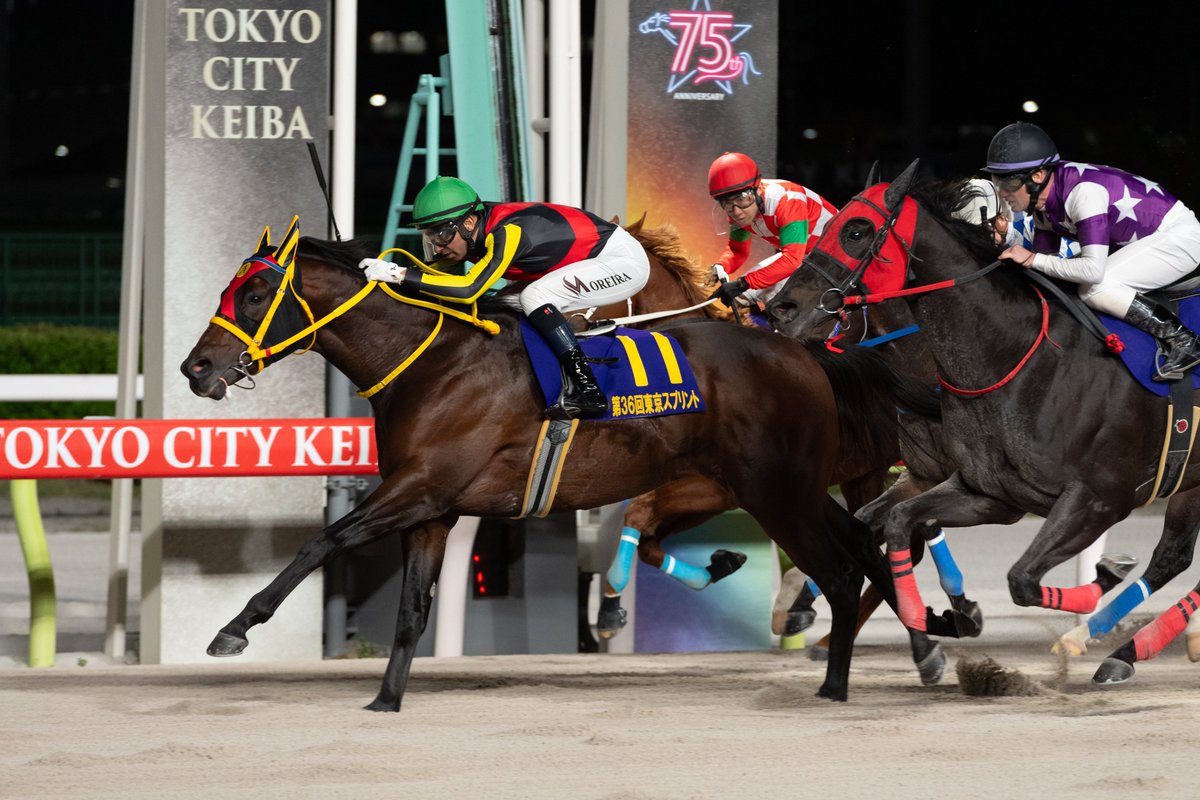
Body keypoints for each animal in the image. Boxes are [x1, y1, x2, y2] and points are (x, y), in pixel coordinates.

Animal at [180, 216, 938, 708]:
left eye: (254, 295)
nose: (196, 368)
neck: (429, 362)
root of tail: (802, 351)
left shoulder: (419, 487)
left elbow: (325, 540)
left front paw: (232, 630)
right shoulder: (431, 508)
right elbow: (411, 610)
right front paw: (386, 701)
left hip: (777, 492)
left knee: (840, 568)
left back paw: (838, 683)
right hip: (789, 489)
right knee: (864, 543)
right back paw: (928, 648)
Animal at [767, 161, 1200, 686]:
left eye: (856, 230)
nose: (781, 307)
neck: (1011, 355)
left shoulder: (1099, 499)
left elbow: (1020, 580)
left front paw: (1103, 577)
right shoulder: (986, 491)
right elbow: (892, 524)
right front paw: (933, 633)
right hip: (1190, 482)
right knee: (1173, 557)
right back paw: (1122, 653)